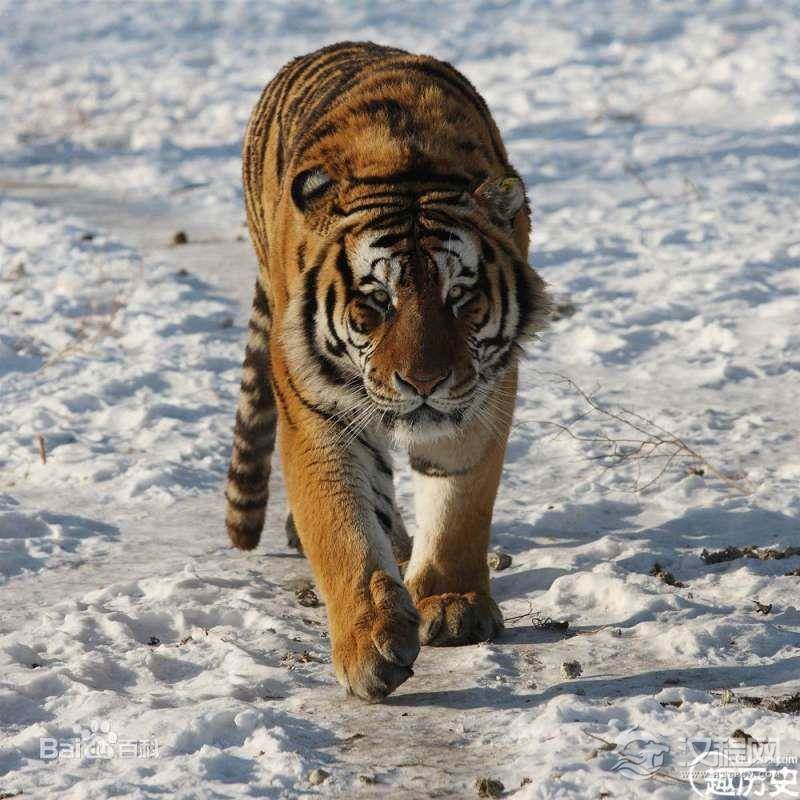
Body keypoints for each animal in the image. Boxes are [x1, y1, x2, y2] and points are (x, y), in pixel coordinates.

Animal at [225, 41, 550, 700]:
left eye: (461, 298)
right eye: (376, 303)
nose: (423, 383)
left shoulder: (478, 401)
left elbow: (458, 507)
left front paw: (452, 604)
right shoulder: (319, 414)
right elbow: (343, 528)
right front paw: (368, 645)